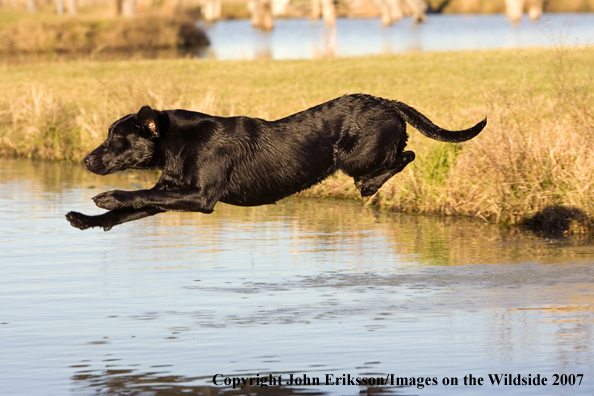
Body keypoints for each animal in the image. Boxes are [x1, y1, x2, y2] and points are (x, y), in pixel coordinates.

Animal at [67, 94, 484, 230]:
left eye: (117, 139)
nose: (86, 159)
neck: (176, 142)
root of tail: (388, 103)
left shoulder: (200, 197)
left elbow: (130, 194)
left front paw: (106, 197)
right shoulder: (170, 193)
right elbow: (133, 205)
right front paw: (85, 220)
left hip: (356, 157)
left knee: (405, 155)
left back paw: (369, 186)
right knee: (406, 153)